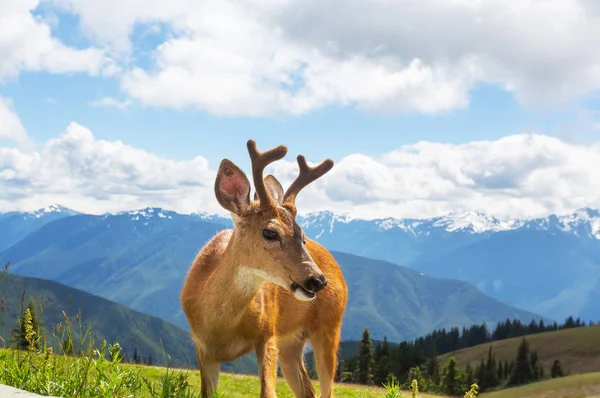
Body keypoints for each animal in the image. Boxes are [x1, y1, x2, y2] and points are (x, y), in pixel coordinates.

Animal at [178, 138, 346, 396]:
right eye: (269, 232)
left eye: (302, 236)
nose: (318, 280)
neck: (219, 326)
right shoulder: (203, 348)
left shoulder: (268, 333)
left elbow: (268, 391)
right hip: (291, 343)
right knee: (308, 390)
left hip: (330, 327)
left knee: (326, 390)